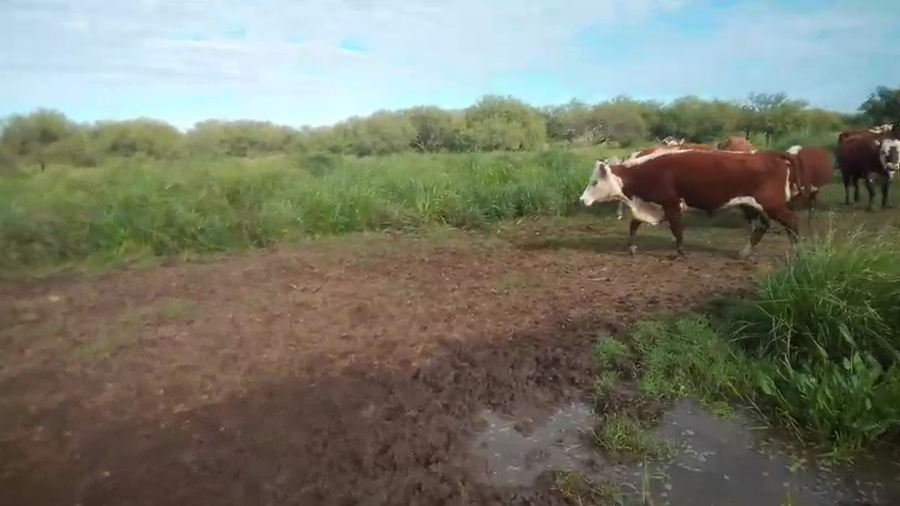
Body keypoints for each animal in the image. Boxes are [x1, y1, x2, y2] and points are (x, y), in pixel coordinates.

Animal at [579, 150, 802, 259]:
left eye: (594, 182)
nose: (582, 200)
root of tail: (770, 155)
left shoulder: (671, 206)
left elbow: (677, 230)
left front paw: (682, 252)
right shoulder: (653, 206)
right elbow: (634, 224)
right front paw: (632, 247)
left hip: (772, 205)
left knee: (792, 221)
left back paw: (796, 251)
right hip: (749, 206)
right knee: (761, 227)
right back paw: (744, 253)